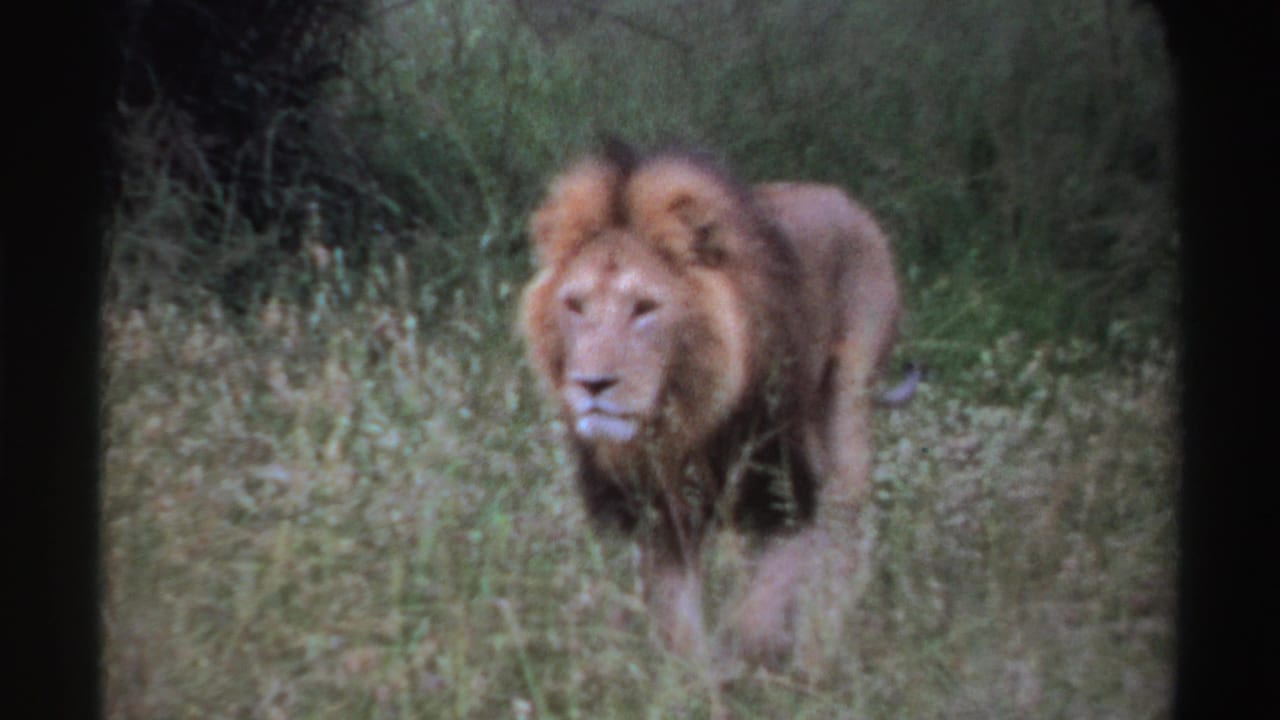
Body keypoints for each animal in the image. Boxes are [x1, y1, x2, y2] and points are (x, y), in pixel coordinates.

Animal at [519, 142, 906, 666]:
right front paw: (698, 672)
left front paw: (752, 653)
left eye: (645, 307)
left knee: (847, 527)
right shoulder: (658, 513)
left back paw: (821, 642)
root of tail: (842, 197)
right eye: (576, 305)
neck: (681, 415)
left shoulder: (783, 487)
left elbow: (765, 600)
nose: (592, 384)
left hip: (848, 398)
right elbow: (678, 620)